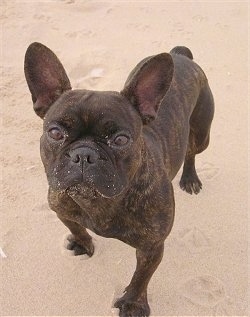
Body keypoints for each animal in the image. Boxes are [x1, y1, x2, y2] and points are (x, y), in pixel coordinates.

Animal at [24, 42, 214, 316]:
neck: (99, 202)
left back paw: (189, 177)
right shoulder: (60, 208)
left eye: (121, 139)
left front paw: (133, 303)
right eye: (56, 133)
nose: (84, 154)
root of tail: (180, 55)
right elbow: (76, 227)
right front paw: (82, 244)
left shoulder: (151, 248)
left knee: (191, 150)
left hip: (202, 133)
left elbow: (141, 278)